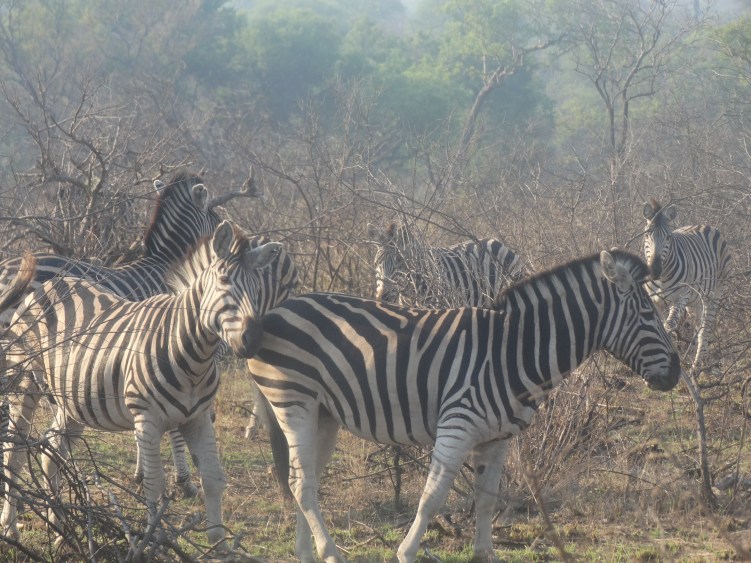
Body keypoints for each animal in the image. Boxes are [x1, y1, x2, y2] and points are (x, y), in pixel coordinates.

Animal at [0, 221, 282, 550]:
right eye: (224, 281)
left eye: (256, 288)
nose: (253, 340)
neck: (192, 353)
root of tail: (49, 285)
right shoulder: (147, 418)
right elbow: (154, 482)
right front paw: (152, 540)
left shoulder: (199, 418)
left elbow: (213, 479)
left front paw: (219, 544)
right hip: (24, 381)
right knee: (15, 452)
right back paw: (12, 529)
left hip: (72, 401)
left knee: (51, 453)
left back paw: (59, 529)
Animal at [248, 249, 681, 563]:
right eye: (648, 314)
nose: (676, 373)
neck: (512, 351)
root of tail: (277, 310)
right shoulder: (458, 425)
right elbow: (432, 496)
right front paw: (406, 552)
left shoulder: (499, 436)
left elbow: (486, 498)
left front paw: (484, 553)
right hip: (294, 402)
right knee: (302, 485)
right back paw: (330, 553)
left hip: (324, 414)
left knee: (305, 480)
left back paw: (307, 553)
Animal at [643, 199, 730, 374]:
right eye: (647, 235)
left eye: (668, 237)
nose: (655, 270)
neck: (662, 278)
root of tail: (704, 225)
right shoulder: (655, 300)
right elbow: (658, 328)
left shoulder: (680, 297)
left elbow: (668, 325)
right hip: (694, 300)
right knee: (698, 325)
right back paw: (702, 362)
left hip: (714, 292)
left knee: (706, 326)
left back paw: (697, 367)